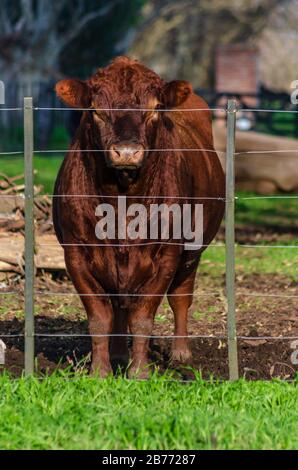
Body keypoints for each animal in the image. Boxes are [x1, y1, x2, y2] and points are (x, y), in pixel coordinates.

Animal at [53, 56, 224, 378]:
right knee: (120, 304)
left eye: (155, 108)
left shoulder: (167, 253)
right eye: (96, 110)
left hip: (192, 252)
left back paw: (180, 353)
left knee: (180, 297)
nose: (127, 152)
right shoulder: (76, 253)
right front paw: (100, 371)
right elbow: (100, 317)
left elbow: (143, 316)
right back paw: (120, 354)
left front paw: (139, 373)